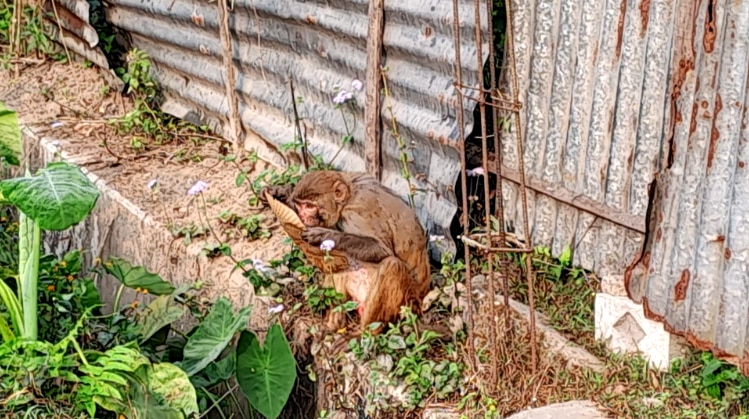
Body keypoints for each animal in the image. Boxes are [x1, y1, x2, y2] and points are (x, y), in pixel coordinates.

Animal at [260, 171, 430, 332]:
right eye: (301, 206)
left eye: (309, 206)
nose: (302, 215)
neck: (349, 196)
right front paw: (280, 192)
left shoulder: (354, 213)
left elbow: (382, 250)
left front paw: (325, 235)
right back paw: (334, 324)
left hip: (407, 301)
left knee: (392, 265)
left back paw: (364, 334)